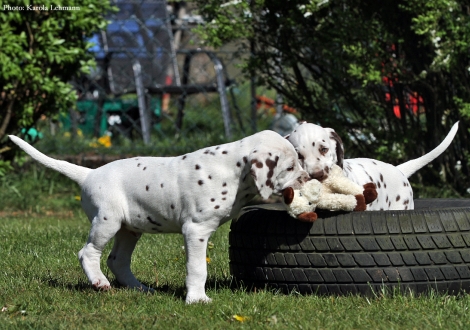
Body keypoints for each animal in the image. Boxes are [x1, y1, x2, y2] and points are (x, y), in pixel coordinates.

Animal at [9, 131, 310, 304]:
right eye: (290, 167)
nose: (309, 178)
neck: (233, 171)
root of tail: (89, 173)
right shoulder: (196, 231)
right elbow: (198, 268)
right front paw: (197, 299)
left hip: (130, 230)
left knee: (117, 261)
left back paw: (139, 289)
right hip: (108, 221)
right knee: (89, 252)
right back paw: (99, 282)